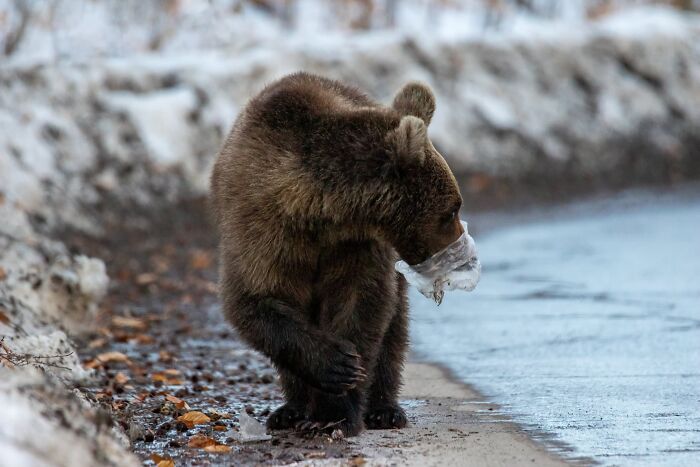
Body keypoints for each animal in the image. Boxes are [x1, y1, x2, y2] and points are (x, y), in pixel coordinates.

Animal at [210, 72, 464, 437]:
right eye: (451, 210)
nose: (457, 248)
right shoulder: (261, 229)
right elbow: (256, 299)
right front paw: (336, 366)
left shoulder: (355, 247)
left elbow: (361, 304)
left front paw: (335, 412)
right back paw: (289, 411)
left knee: (395, 328)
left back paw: (385, 409)